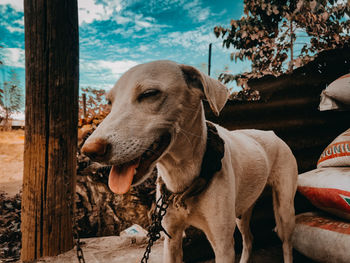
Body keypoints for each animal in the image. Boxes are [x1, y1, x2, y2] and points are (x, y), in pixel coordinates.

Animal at [82, 60, 298, 263]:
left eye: (150, 93)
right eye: (110, 102)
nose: (89, 151)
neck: (181, 177)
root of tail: (271, 132)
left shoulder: (223, 246)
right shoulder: (171, 238)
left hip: (284, 208)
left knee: (286, 243)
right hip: (243, 210)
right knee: (249, 239)